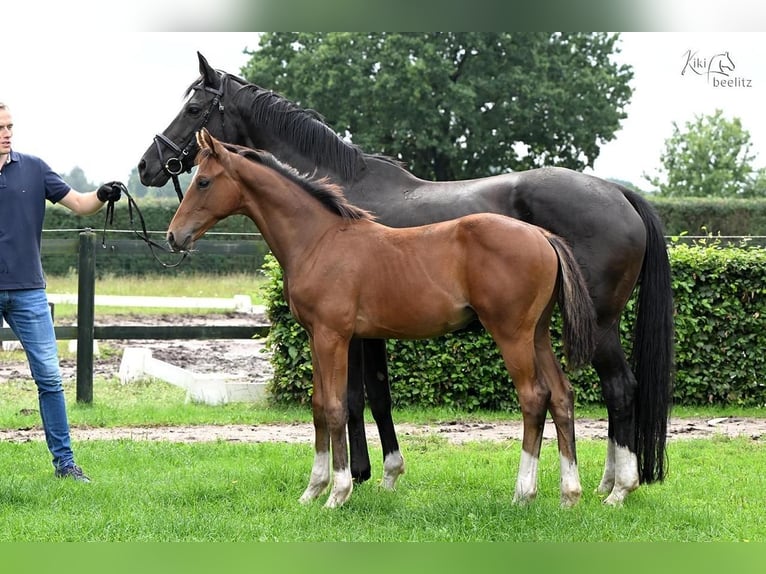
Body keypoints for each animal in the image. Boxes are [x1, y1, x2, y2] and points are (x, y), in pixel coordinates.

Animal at [167, 128, 598, 508]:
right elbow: (318, 406)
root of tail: (542, 236)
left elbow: (337, 407)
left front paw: (338, 493)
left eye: (203, 181)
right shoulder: (315, 336)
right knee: (561, 394)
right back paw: (569, 494)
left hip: (511, 334)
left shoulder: (333, 336)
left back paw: (524, 493)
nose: (174, 236)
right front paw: (312, 491)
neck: (319, 239)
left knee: (534, 397)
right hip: (537, 334)